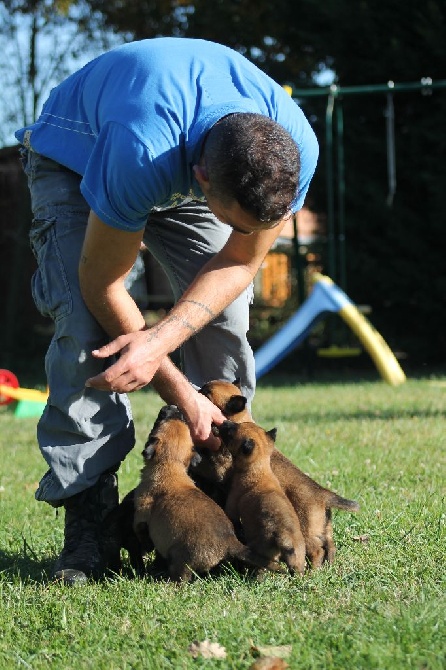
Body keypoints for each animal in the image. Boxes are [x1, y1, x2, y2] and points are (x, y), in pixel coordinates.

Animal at [132, 404, 278, 584]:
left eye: (159, 421)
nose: (173, 406)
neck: (170, 466)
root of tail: (230, 542)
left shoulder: (141, 512)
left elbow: (140, 530)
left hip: (181, 561)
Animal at [216, 422, 306, 576]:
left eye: (231, 432)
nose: (224, 422)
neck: (259, 468)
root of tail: (284, 536)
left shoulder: (232, 507)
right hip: (298, 557)